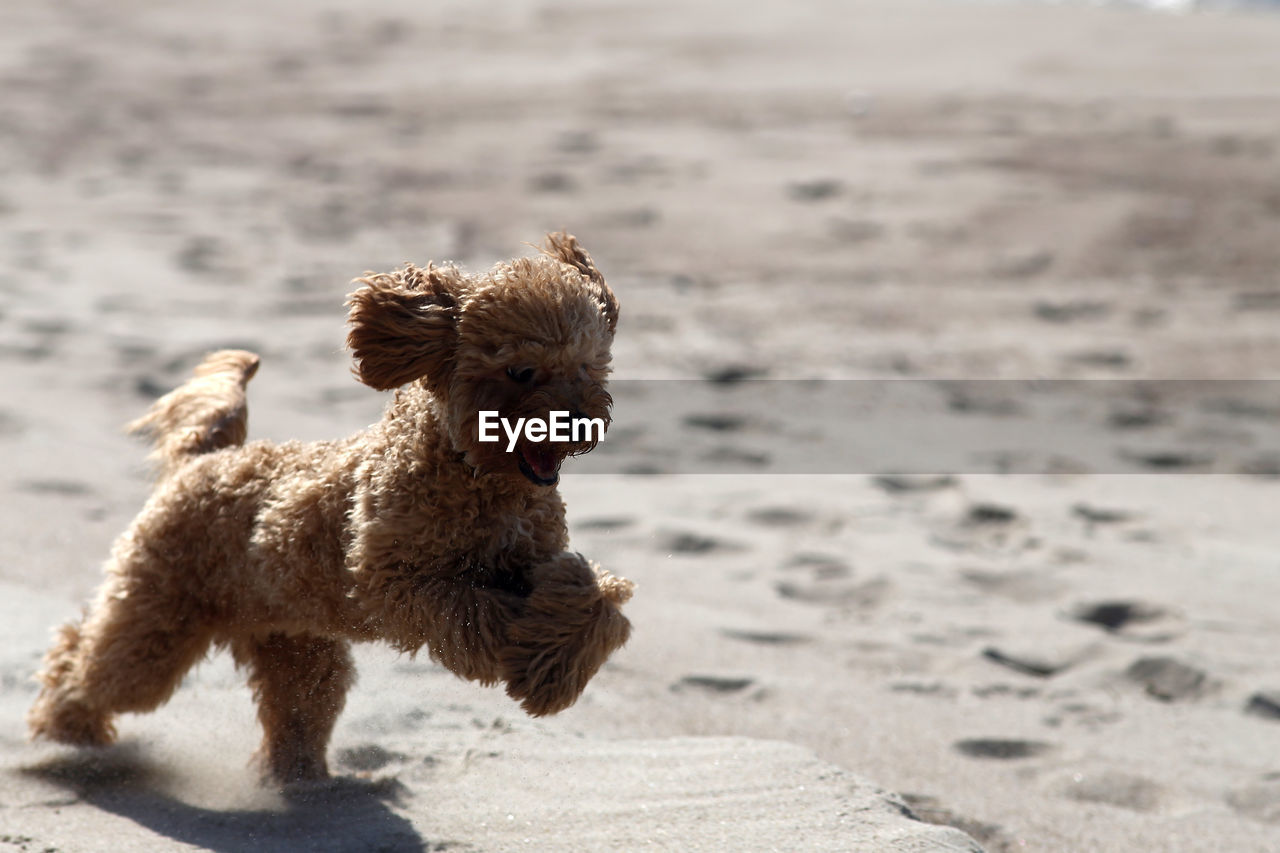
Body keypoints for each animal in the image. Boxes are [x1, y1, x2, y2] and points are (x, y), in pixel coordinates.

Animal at [26, 230, 634, 783]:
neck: (475, 475)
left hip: (295, 644)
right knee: (89, 662)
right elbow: (475, 611)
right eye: (521, 371)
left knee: (297, 709)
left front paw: (554, 669)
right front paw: (526, 655)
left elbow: (592, 598)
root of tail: (203, 460)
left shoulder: (532, 557)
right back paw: (66, 733)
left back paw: (300, 780)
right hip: (158, 617)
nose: (578, 422)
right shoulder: (394, 582)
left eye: (588, 367)